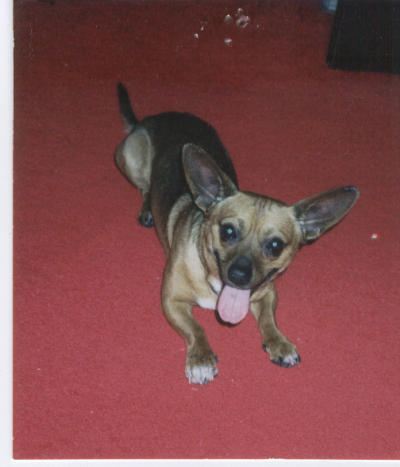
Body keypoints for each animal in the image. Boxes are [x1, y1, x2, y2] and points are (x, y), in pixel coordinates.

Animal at [113, 83, 360, 384]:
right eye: (228, 231)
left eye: (275, 246)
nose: (239, 275)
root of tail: (147, 119)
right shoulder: (171, 300)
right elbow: (196, 329)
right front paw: (201, 358)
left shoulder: (268, 293)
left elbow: (268, 320)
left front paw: (279, 342)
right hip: (129, 161)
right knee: (145, 187)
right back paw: (147, 208)